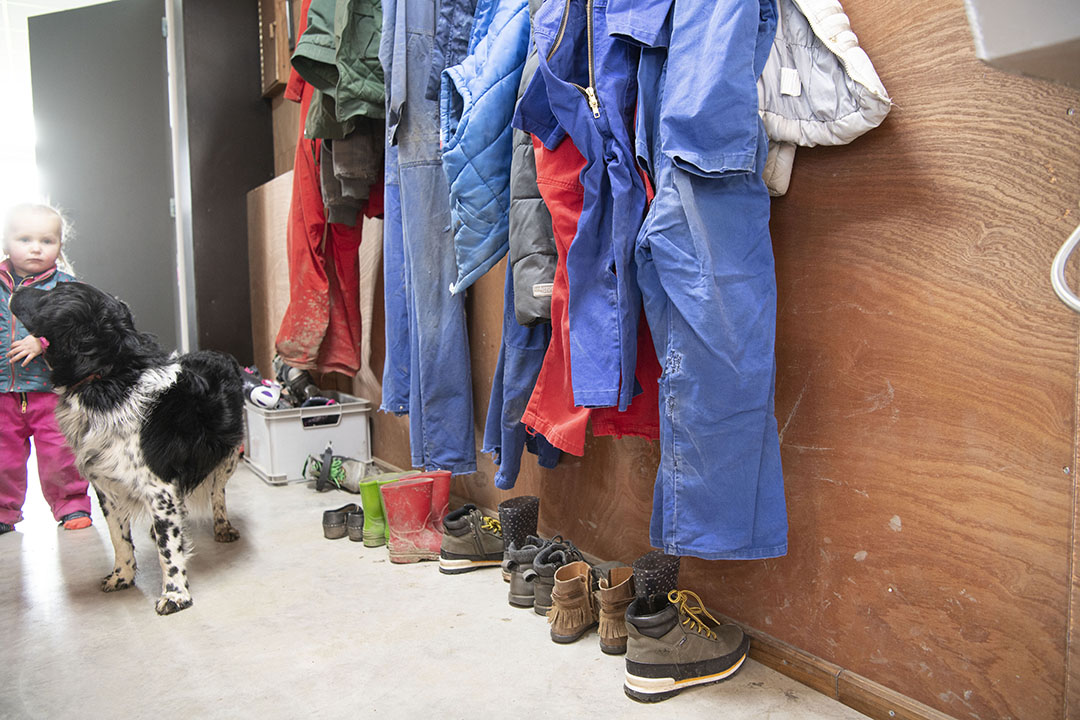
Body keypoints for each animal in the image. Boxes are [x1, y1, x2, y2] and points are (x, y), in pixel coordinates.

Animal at [12, 280, 245, 613]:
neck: (108, 379)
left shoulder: (159, 487)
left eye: (54, 290)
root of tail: (217, 353)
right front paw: (122, 576)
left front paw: (175, 593)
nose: (18, 285)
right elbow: (119, 539)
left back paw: (222, 526)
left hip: (227, 457)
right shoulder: (107, 486)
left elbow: (169, 551)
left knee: (217, 493)